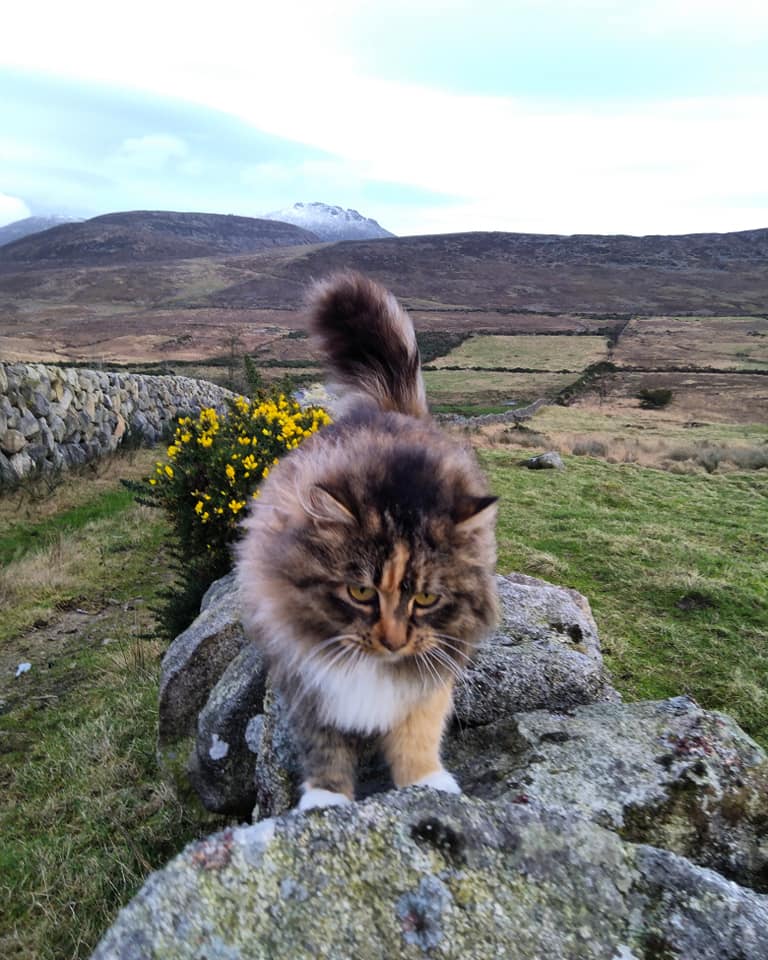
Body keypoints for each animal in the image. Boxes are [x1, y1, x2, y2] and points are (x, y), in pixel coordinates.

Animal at [234, 272, 498, 808]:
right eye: (360, 592)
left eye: (426, 598)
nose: (392, 641)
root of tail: (389, 411)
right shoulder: (306, 681)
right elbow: (326, 748)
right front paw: (326, 801)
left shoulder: (429, 672)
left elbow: (418, 734)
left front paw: (427, 782)